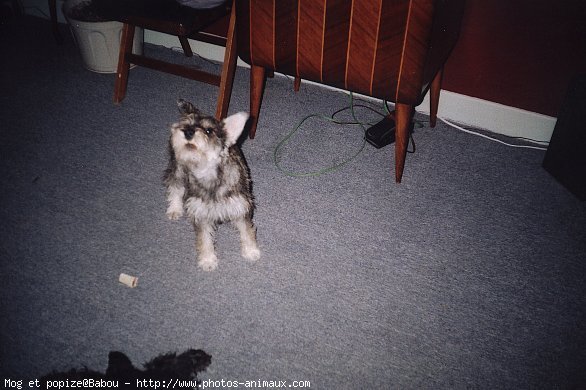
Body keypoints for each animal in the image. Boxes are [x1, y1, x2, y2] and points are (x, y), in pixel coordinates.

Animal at [162, 100, 258, 272]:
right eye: (187, 123)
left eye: (209, 130)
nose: (188, 131)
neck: (208, 175)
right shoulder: (200, 214)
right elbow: (204, 238)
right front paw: (207, 260)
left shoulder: (240, 207)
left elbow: (246, 231)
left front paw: (251, 252)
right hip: (177, 167)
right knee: (175, 186)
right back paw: (174, 209)